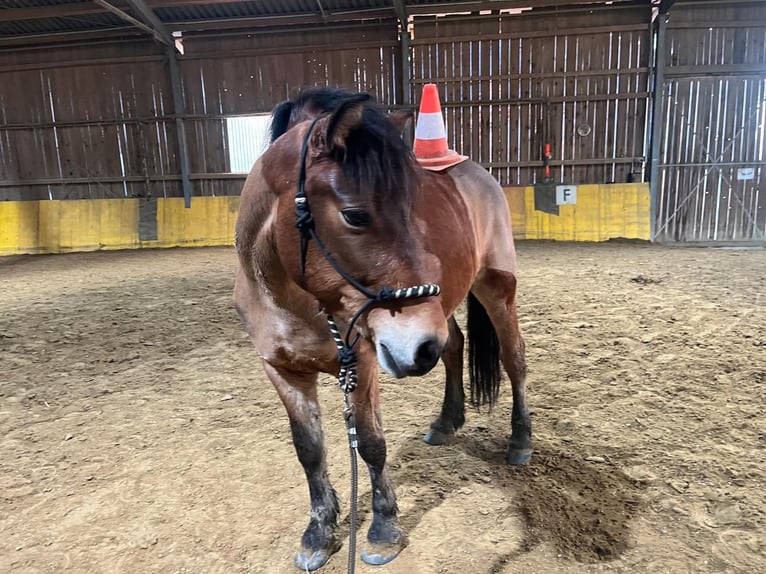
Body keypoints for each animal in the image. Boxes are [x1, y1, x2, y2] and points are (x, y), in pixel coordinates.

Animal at [233, 88, 531, 571]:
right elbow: (308, 449)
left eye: (413, 209)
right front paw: (318, 533)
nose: (419, 345)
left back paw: (521, 440)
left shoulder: (363, 363)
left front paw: (383, 529)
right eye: (355, 215)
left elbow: (371, 443)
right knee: (453, 347)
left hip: (493, 288)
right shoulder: (282, 369)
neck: (294, 299)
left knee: (513, 358)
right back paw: (446, 421)